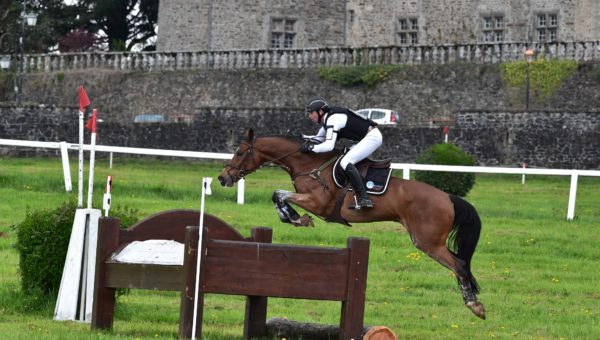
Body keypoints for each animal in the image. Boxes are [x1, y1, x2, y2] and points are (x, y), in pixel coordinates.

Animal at [218, 127, 486, 318]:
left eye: (240, 152)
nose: (222, 178)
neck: (309, 165)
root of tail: (448, 197)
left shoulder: (318, 203)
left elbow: (279, 194)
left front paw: (297, 218)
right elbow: (278, 195)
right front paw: (295, 218)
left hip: (427, 242)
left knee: (460, 264)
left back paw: (475, 305)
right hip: (430, 241)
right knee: (460, 263)